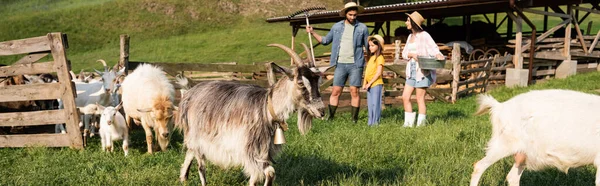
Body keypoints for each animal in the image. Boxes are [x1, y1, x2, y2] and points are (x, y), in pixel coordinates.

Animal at [173, 42, 324, 185]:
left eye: (318, 82)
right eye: (301, 83)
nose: (321, 111)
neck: (266, 109)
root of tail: (189, 93)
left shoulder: (264, 151)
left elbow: (269, 173)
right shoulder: (249, 150)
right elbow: (260, 176)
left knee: (190, 151)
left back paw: (183, 178)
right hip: (199, 136)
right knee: (201, 166)